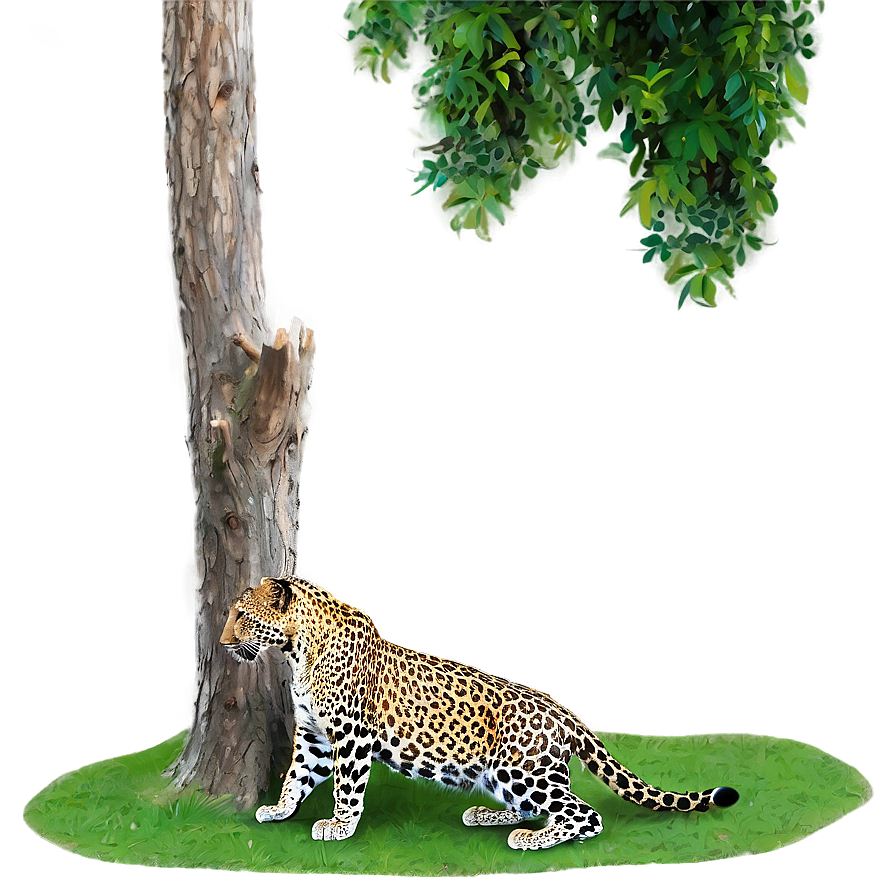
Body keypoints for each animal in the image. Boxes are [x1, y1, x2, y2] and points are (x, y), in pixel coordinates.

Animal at [220, 576, 739, 850]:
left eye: (242, 616)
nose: (223, 644)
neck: (296, 652)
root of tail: (566, 713)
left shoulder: (351, 736)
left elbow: (347, 787)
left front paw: (338, 826)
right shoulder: (314, 734)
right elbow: (297, 775)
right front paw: (281, 809)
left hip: (522, 770)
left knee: (584, 816)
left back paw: (530, 839)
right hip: (507, 776)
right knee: (541, 808)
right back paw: (487, 816)